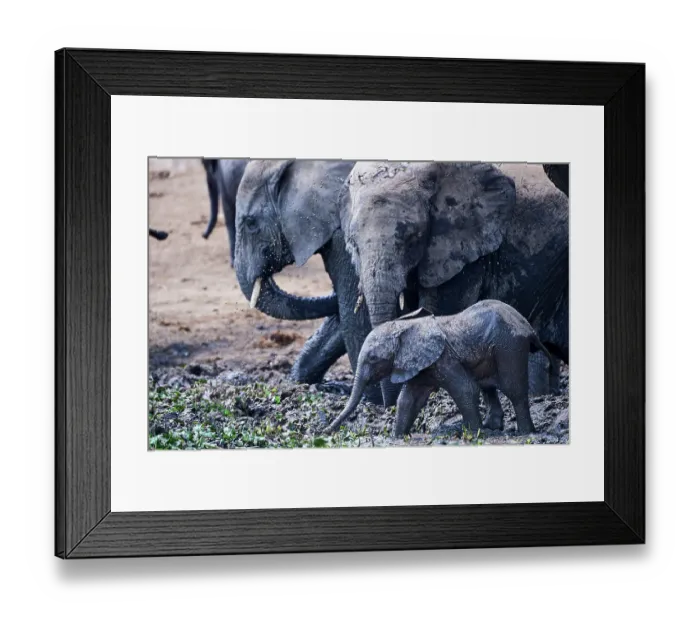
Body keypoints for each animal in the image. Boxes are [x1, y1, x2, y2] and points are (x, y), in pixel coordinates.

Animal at [325, 301, 557, 437]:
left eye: (372, 358)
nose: (324, 432)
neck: (406, 327)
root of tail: (528, 327)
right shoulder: (422, 364)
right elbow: (408, 400)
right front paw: (397, 438)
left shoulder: (444, 358)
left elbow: (465, 390)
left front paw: (473, 435)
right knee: (488, 387)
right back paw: (494, 428)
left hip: (509, 348)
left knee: (513, 390)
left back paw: (525, 433)